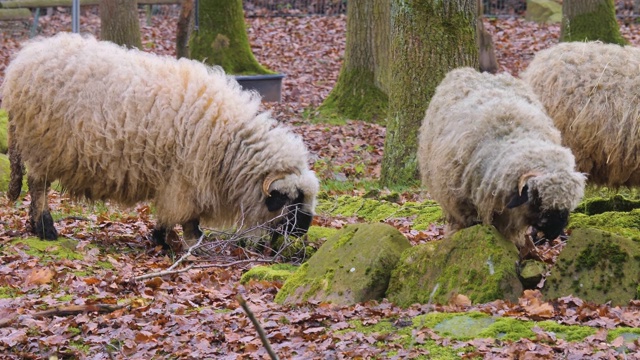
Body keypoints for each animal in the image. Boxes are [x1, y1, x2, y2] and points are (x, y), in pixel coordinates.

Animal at [0, 33, 320, 250]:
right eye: (291, 201)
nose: (303, 232)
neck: (232, 144)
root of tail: (21, 61)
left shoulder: (175, 178)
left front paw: (161, 238)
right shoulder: (185, 178)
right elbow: (186, 214)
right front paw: (183, 243)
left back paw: (35, 227)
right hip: (42, 146)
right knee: (38, 186)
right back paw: (46, 229)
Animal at [418, 67, 588, 248]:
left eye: (568, 205)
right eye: (537, 199)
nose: (554, 233)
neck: (515, 136)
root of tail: (472, 71)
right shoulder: (465, 207)